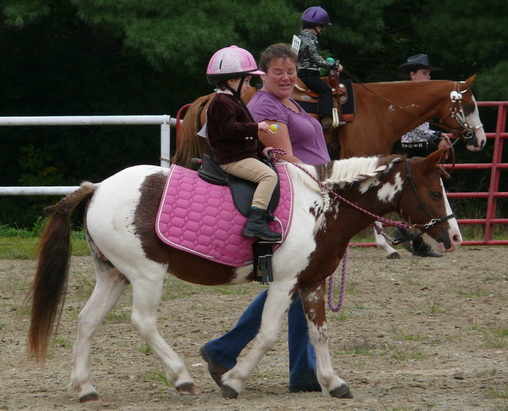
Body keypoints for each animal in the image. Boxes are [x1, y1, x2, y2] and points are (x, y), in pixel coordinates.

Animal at [27, 149, 462, 402]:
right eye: (433, 191)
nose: (454, 236)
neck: (321, 205)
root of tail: (97, 188)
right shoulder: (285, 284)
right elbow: (268, 333)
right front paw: (234, 381)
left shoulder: (312, 283)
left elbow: (320, 333)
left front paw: (332, 381)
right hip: (146, 274)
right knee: (143, 321)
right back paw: (181, 377)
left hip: (114, 275)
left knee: (87, 321)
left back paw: (85, 387)